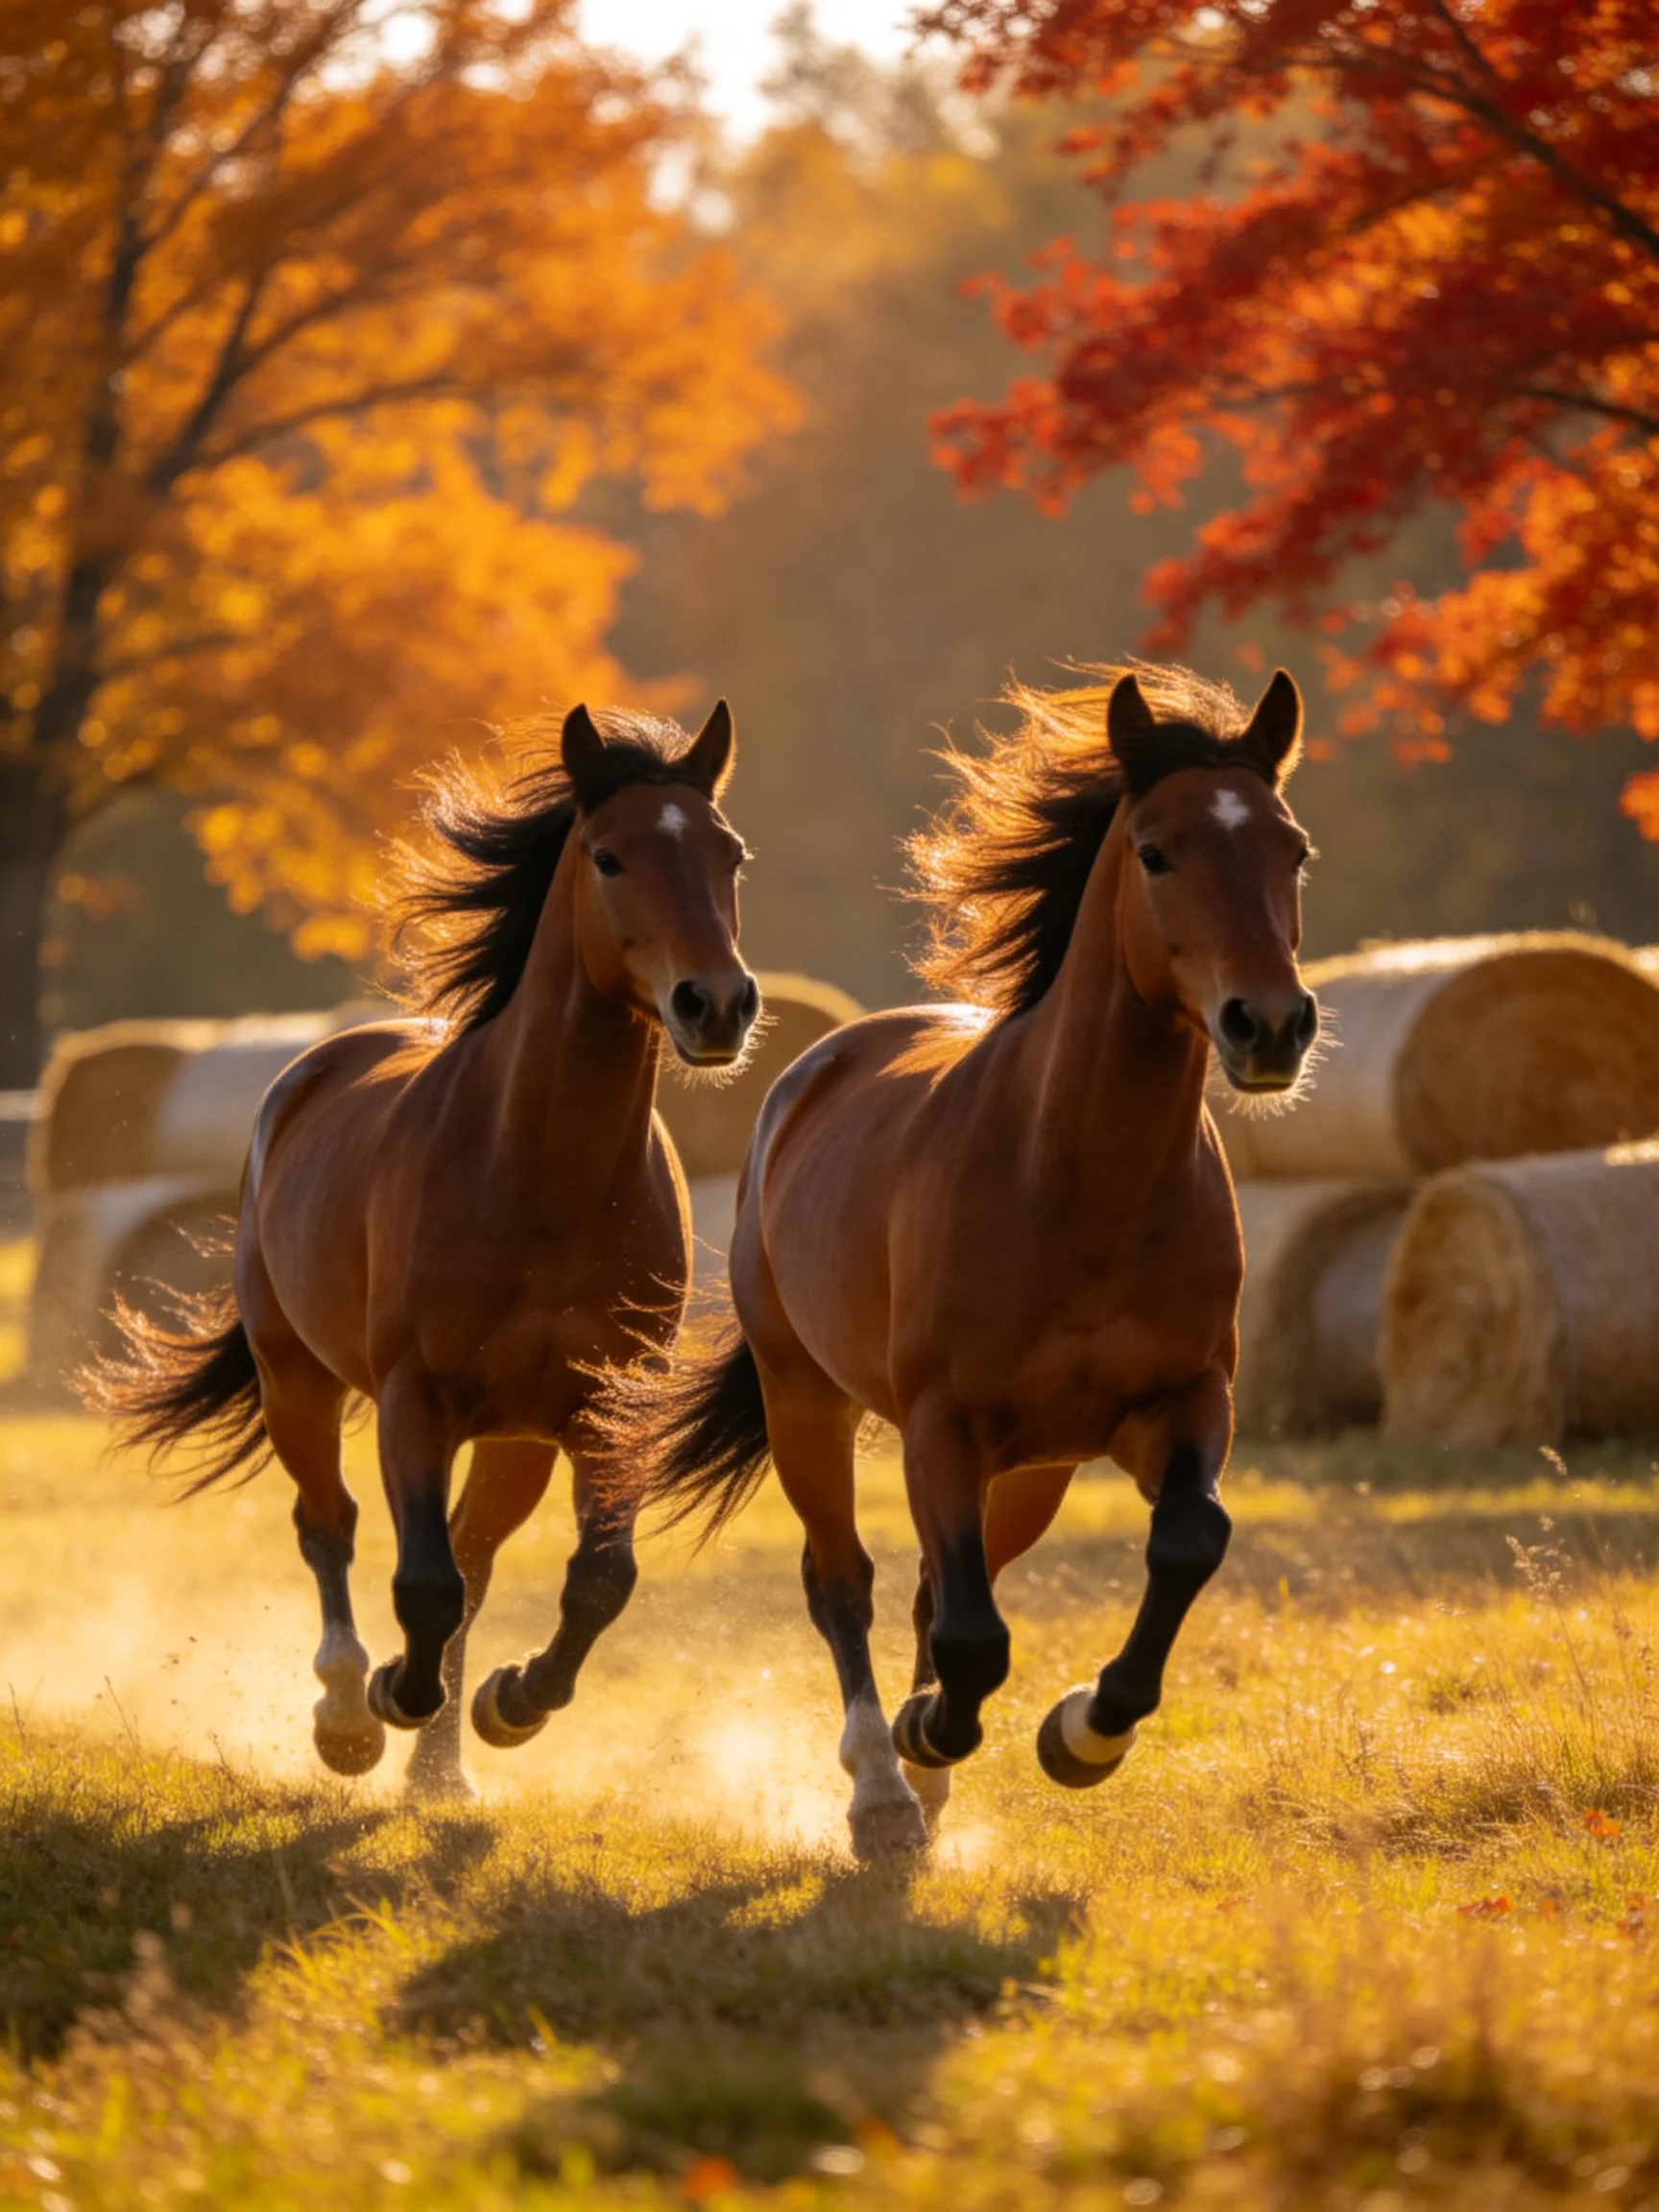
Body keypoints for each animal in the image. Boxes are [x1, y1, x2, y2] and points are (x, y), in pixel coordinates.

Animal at [96, 700, 758, 1797]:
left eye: (730, 853)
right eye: (610, 857)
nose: (719, 1004)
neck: (538, 1176)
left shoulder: (602, 1406)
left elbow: (594, 1578)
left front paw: (509, 1703)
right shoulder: (416, 1397)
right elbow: (423, 1583)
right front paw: (385, 1702)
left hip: (514, 1438)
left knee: (472, 1557)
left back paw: (439, 1772)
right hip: (296, 1380)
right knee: (329, 1527)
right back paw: (348, 1717)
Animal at [601, 664, 1317, 1858]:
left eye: (1291, 849)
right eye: (1157, 851)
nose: (1270, 1025)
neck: (1079, 1184)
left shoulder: (1177, 1403)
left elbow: (1188, 1541)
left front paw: (1085, 1732)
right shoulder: (943, 1423)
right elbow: (967, 1632)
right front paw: (927, 1735)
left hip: (1031, 1470)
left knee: (941, 1588)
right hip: (809, 1402)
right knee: (846, 1582)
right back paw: (886, 1788)